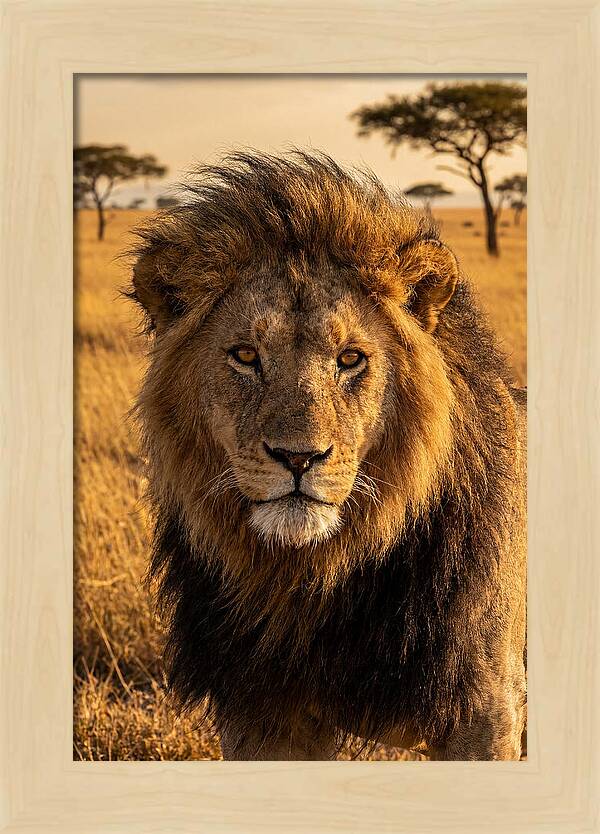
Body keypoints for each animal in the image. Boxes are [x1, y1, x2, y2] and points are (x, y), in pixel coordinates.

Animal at [129, 151, 527, 761]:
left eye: (351, 358)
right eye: (246, 355)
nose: (298, 458)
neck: (314, 579)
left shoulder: (484, 709)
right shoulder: (261, 714)